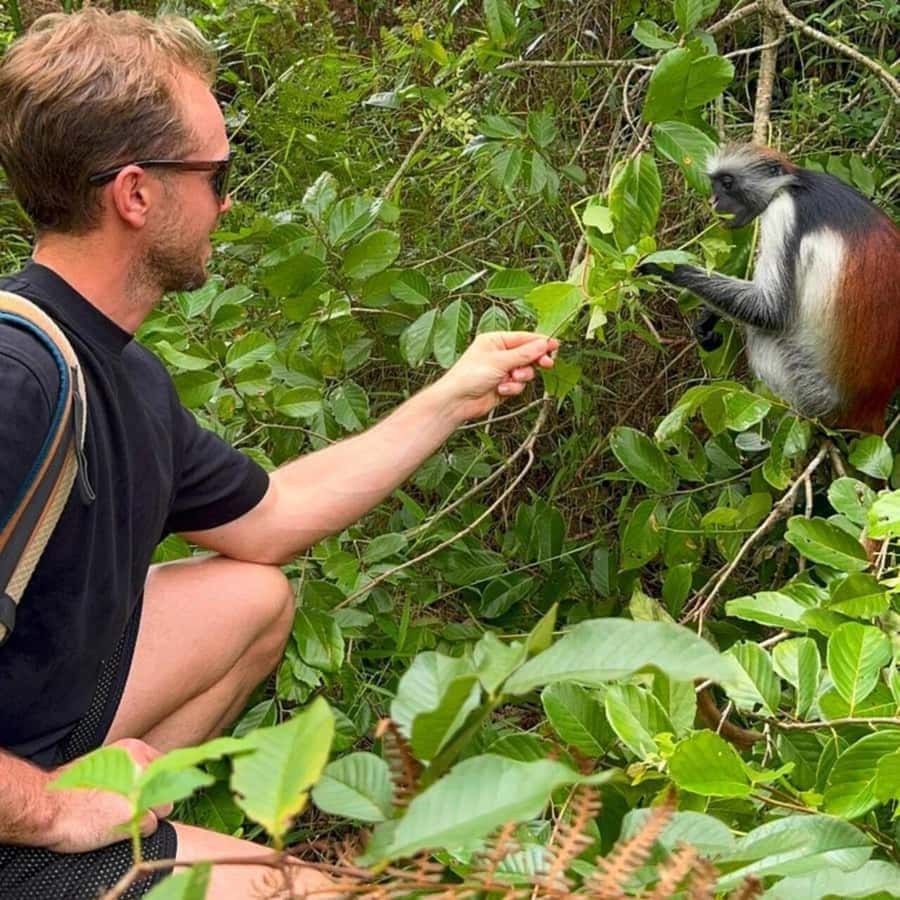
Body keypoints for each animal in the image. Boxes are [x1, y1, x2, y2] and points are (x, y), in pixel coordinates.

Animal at [641, 143, 900, 434]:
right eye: (715, 184)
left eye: (727, 183)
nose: (713, 201)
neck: (796, 182)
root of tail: (871, 407)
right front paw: (708, 318)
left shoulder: (782, 211)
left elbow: (771, 311)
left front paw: (666, 265)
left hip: (813, 393)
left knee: (762, 333)